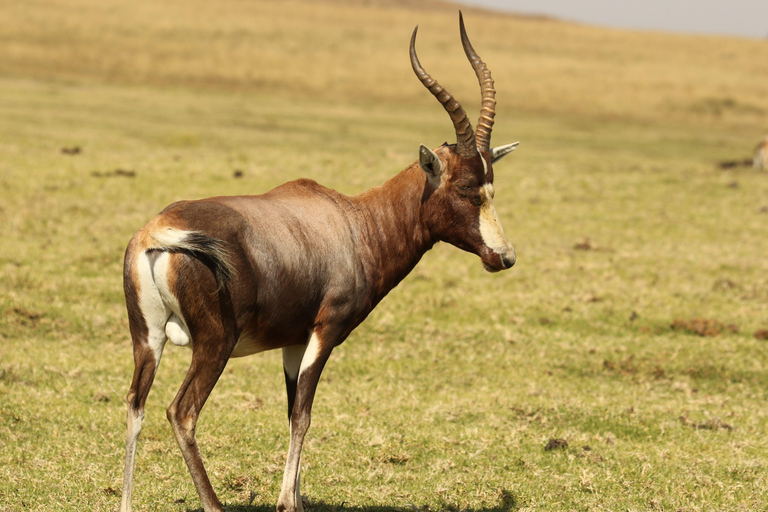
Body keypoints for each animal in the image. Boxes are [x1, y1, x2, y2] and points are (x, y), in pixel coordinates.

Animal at [117, 13, 520, 512]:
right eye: (466, 188)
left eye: (491, 184)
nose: (503, 256)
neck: (351, 221)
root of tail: (159, 230)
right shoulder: (325, 330)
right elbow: (304, 414)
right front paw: (288, 503)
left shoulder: (293, 341)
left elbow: (292, 410)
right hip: (216, 343)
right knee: (182, 411)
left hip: (147, 338)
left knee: (135, 404)